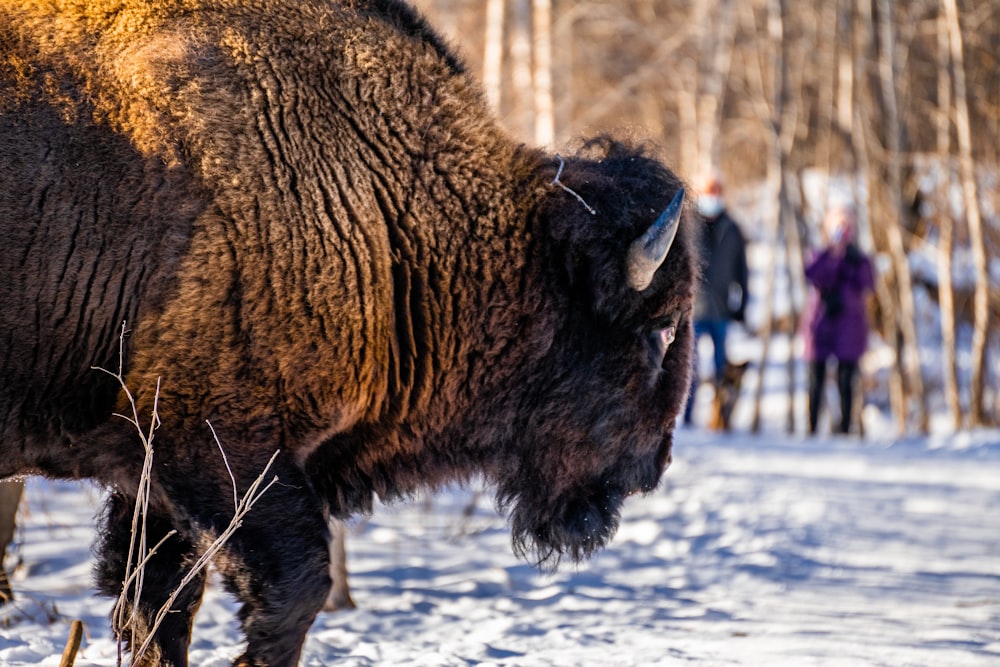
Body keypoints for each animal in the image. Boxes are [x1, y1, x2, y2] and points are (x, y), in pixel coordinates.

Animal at [1, 0, 696, 664]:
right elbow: (292, 588)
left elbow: (158, 607)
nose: (654, 466)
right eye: (660, 331)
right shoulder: (218, 446)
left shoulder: (150, 478)